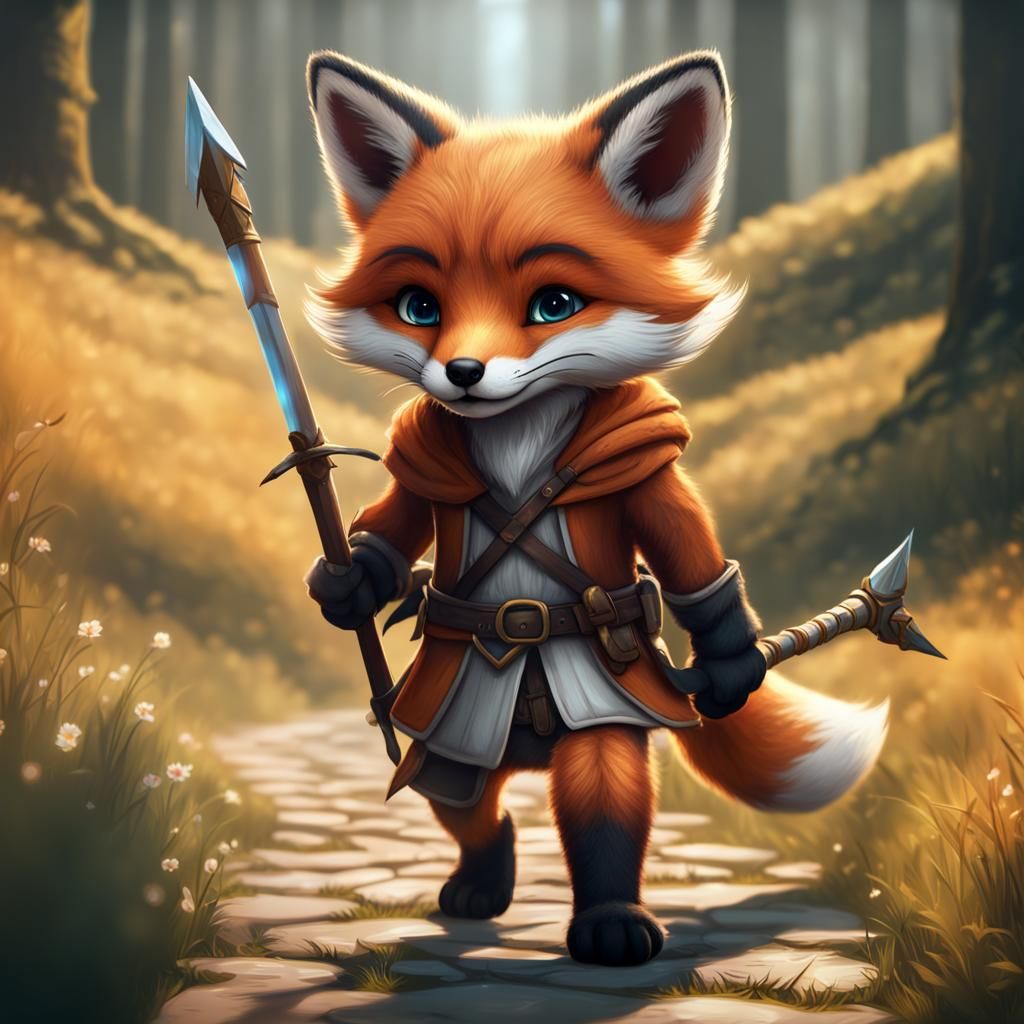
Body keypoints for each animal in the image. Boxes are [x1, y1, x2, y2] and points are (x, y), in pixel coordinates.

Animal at [301, 49, 888, 967]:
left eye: (554, 304)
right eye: (419, 307)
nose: (461, 373)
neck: (517, 439)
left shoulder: (643, 476)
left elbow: (691, 567)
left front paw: (731, 669)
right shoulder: (426, 476)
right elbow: (390, 537)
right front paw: (347, 586)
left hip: (595, 708)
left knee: (595, 792)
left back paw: (612, 922)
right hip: (453, 733)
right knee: (463, 800)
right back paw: (482, 884)